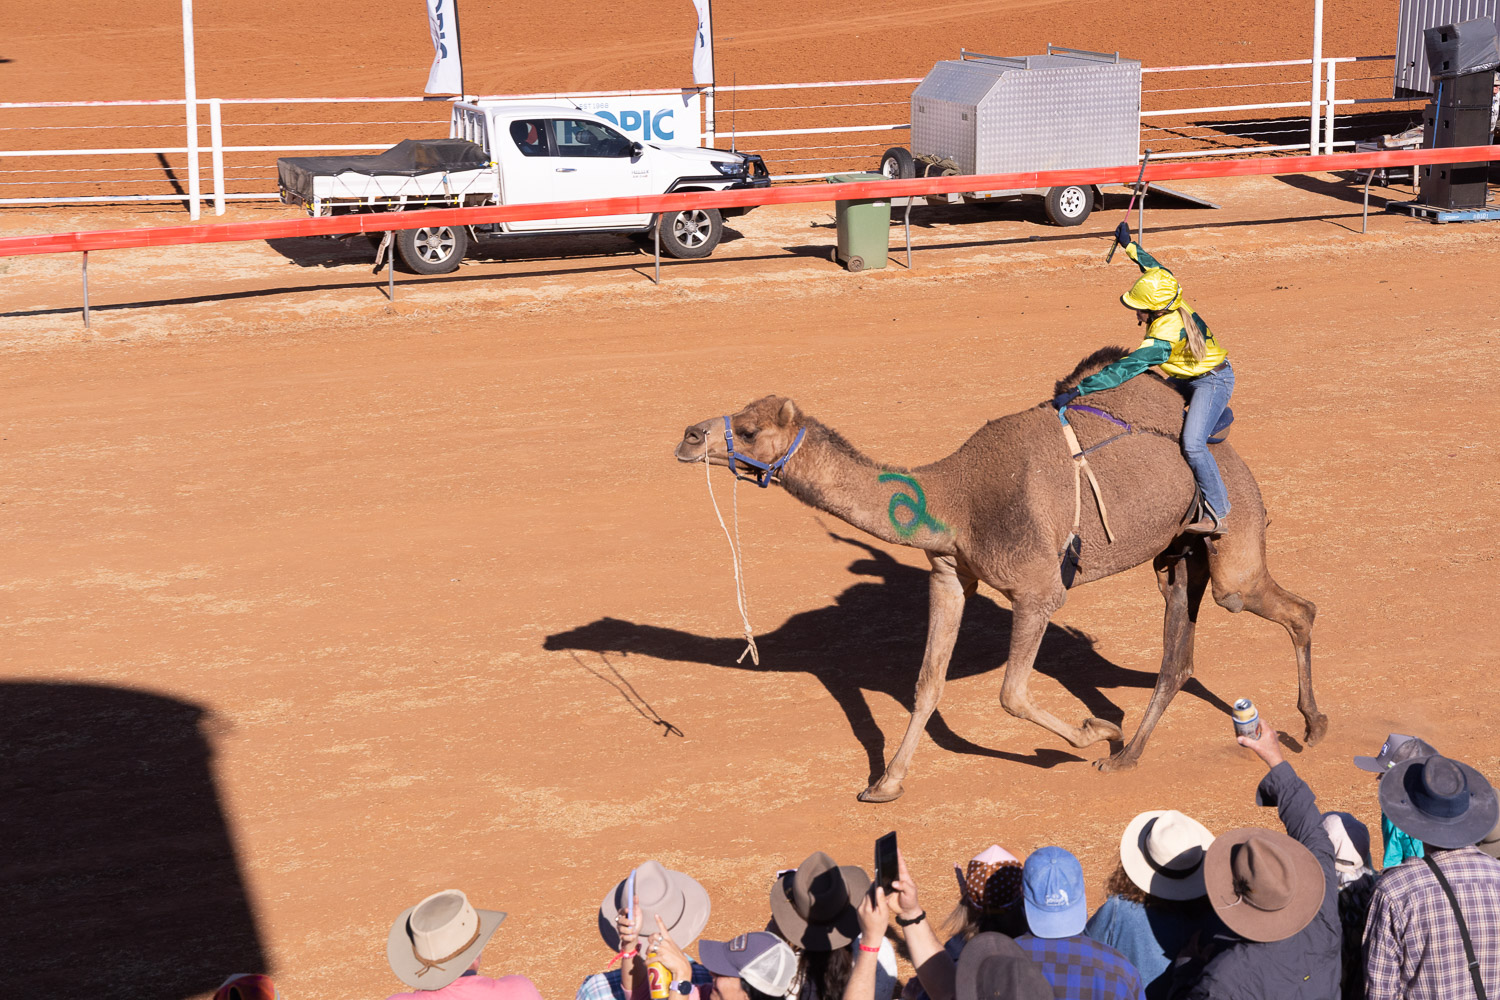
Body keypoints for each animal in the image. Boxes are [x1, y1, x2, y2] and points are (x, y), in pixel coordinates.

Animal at [673, 348, 1324, 802]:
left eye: (750, 430)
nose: (688, 435)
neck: (956, 499)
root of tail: (1228, 452)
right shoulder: (949, 574)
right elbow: (927, 683)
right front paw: (884, 784)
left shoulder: (1039, 590)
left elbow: (1010, 694)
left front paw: (1093, 731)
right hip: (1178, 556)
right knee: (1178, 660)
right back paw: (1129, 756)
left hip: (1232, 544)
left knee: (1290, 609)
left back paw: (1309, 727)